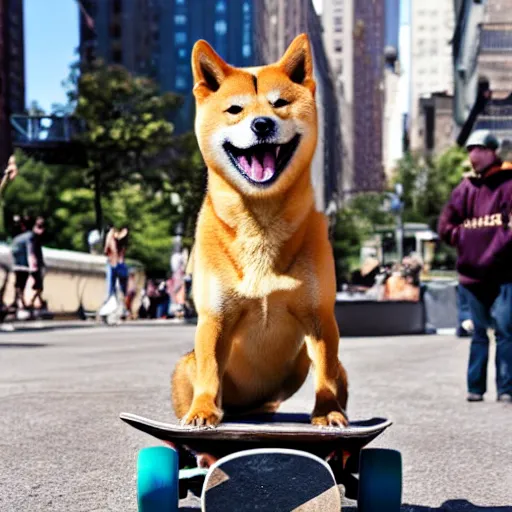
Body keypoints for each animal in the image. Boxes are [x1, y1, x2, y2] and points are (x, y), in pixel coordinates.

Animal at [172, 34, 348, 428]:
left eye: (279, 103)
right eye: (235, 109)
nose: (262, 124)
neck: (261, 225)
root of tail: (249, 406)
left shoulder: (320, 317)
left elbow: (325, 371)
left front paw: (328, 411)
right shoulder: (214, 319)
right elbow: (210, 370)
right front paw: (203, 410)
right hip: (184, 365)